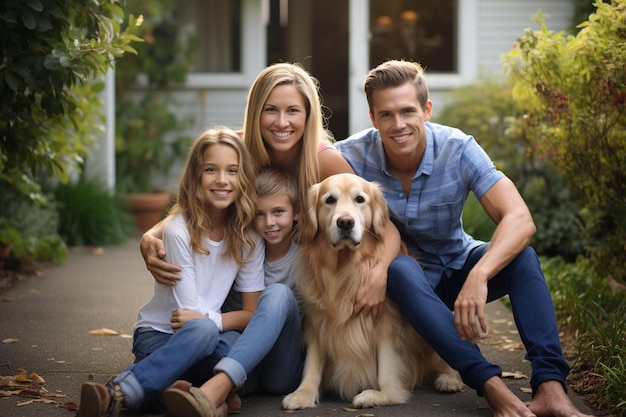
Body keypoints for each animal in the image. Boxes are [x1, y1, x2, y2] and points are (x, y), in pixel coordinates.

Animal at [280, 173, 460, 410]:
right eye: (329, 200)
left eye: (360, 199)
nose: (345, 222)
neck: (345, 268)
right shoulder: (318, 318)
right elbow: (313, 361)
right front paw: (303, 393)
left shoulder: (387, 323)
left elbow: (387, 368)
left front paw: (382, 395)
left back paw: (449, 379)